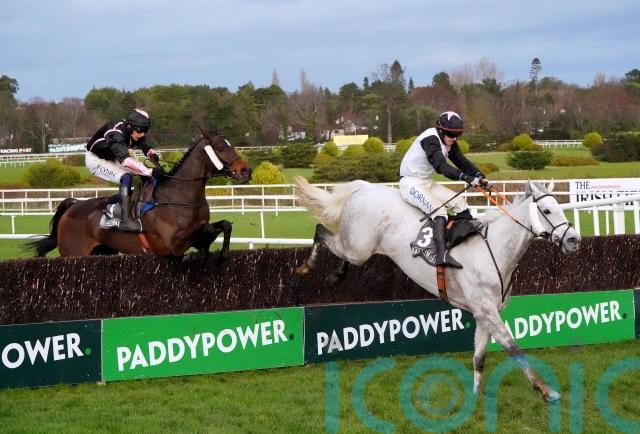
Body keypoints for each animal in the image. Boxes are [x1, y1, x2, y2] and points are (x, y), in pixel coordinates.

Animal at [28, 130, 251, 260]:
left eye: (231, 144)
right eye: (220, 147)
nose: (246, 171)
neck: (178, 196)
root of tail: (73, 205)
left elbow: (224, 225)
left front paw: (222, 252)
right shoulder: (173, 243)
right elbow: (202, 233)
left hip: (102, 250)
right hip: (73, 253)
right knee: (126, 176)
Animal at [294, 177, 581, 401]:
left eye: (560, 207)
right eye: (547, 210)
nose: (574, 240)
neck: (495, 250)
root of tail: (363, 188)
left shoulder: (485, 313)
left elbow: (479, 358)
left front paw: (476, 397)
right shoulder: (486, 310)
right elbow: (514, 349)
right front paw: (545, 389)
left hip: (356, 248)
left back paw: (335, 276)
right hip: (358, 247)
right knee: (321, 231)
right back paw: (307, 268)